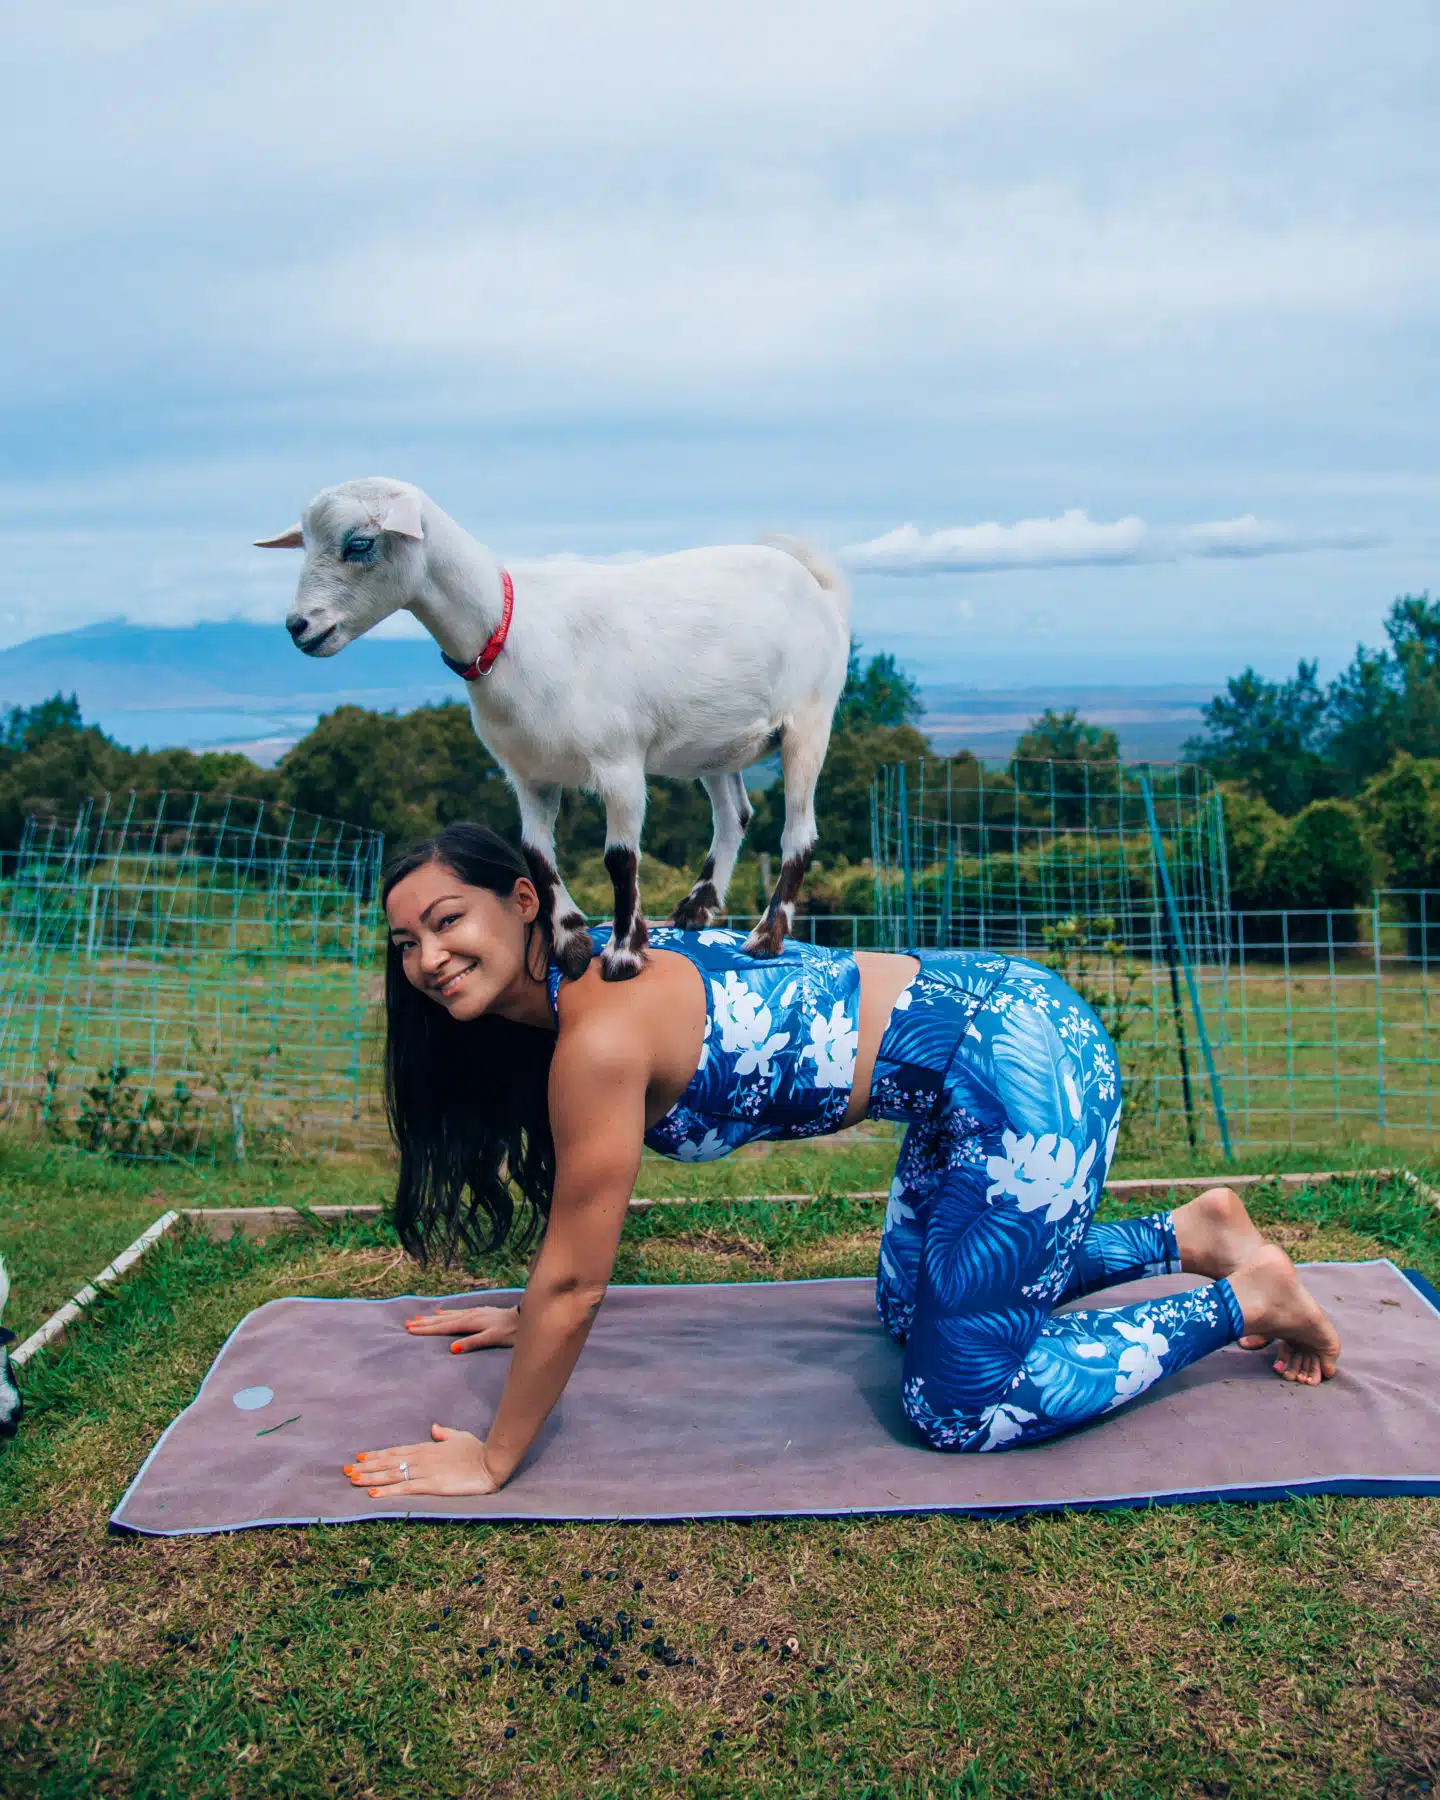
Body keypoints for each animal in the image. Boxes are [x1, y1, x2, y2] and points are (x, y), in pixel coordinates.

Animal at [259, 482, 849, 986]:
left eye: (359, 543)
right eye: (305, 543)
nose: (299, 628)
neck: (511, 630)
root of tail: (820, 587)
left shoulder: (619, 763)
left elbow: (620, 859)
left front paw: (624, 955)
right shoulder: (528, 774)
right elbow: (536, 855)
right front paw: (571, 944)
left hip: (809, 721)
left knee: (798, 831)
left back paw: (767, 937)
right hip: (713, 745)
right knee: (734, 815)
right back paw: (694, 910)